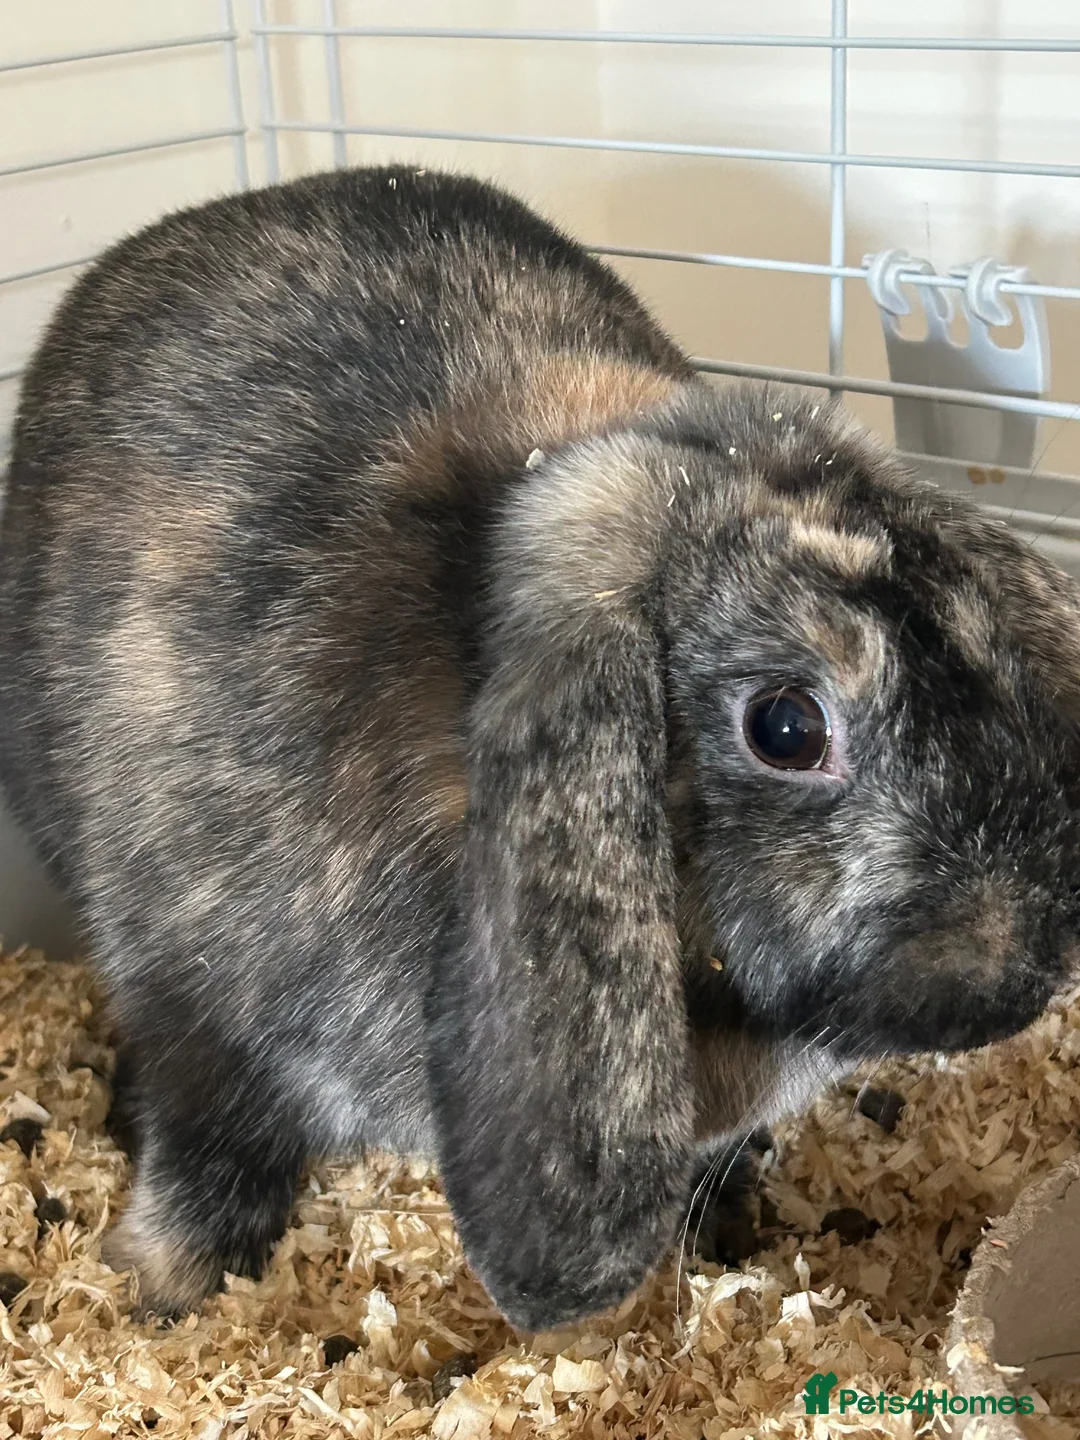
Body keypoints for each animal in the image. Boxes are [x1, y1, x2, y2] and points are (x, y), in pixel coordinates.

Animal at [2, 164, 1080, 1334]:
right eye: (787, 728)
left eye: (995, 642)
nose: (1023, 975)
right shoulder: (195, 1019)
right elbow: (208, 1160)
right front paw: (164, 1288)